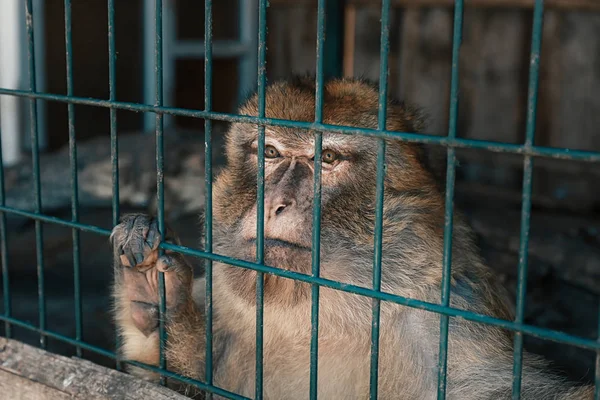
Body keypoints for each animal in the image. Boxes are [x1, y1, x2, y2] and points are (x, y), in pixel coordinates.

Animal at [110, 76, 592, 398]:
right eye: (269, 152)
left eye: (327, 158)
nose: (275, 203)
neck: (324, 313)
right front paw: (155, 300)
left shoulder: (451, 324)